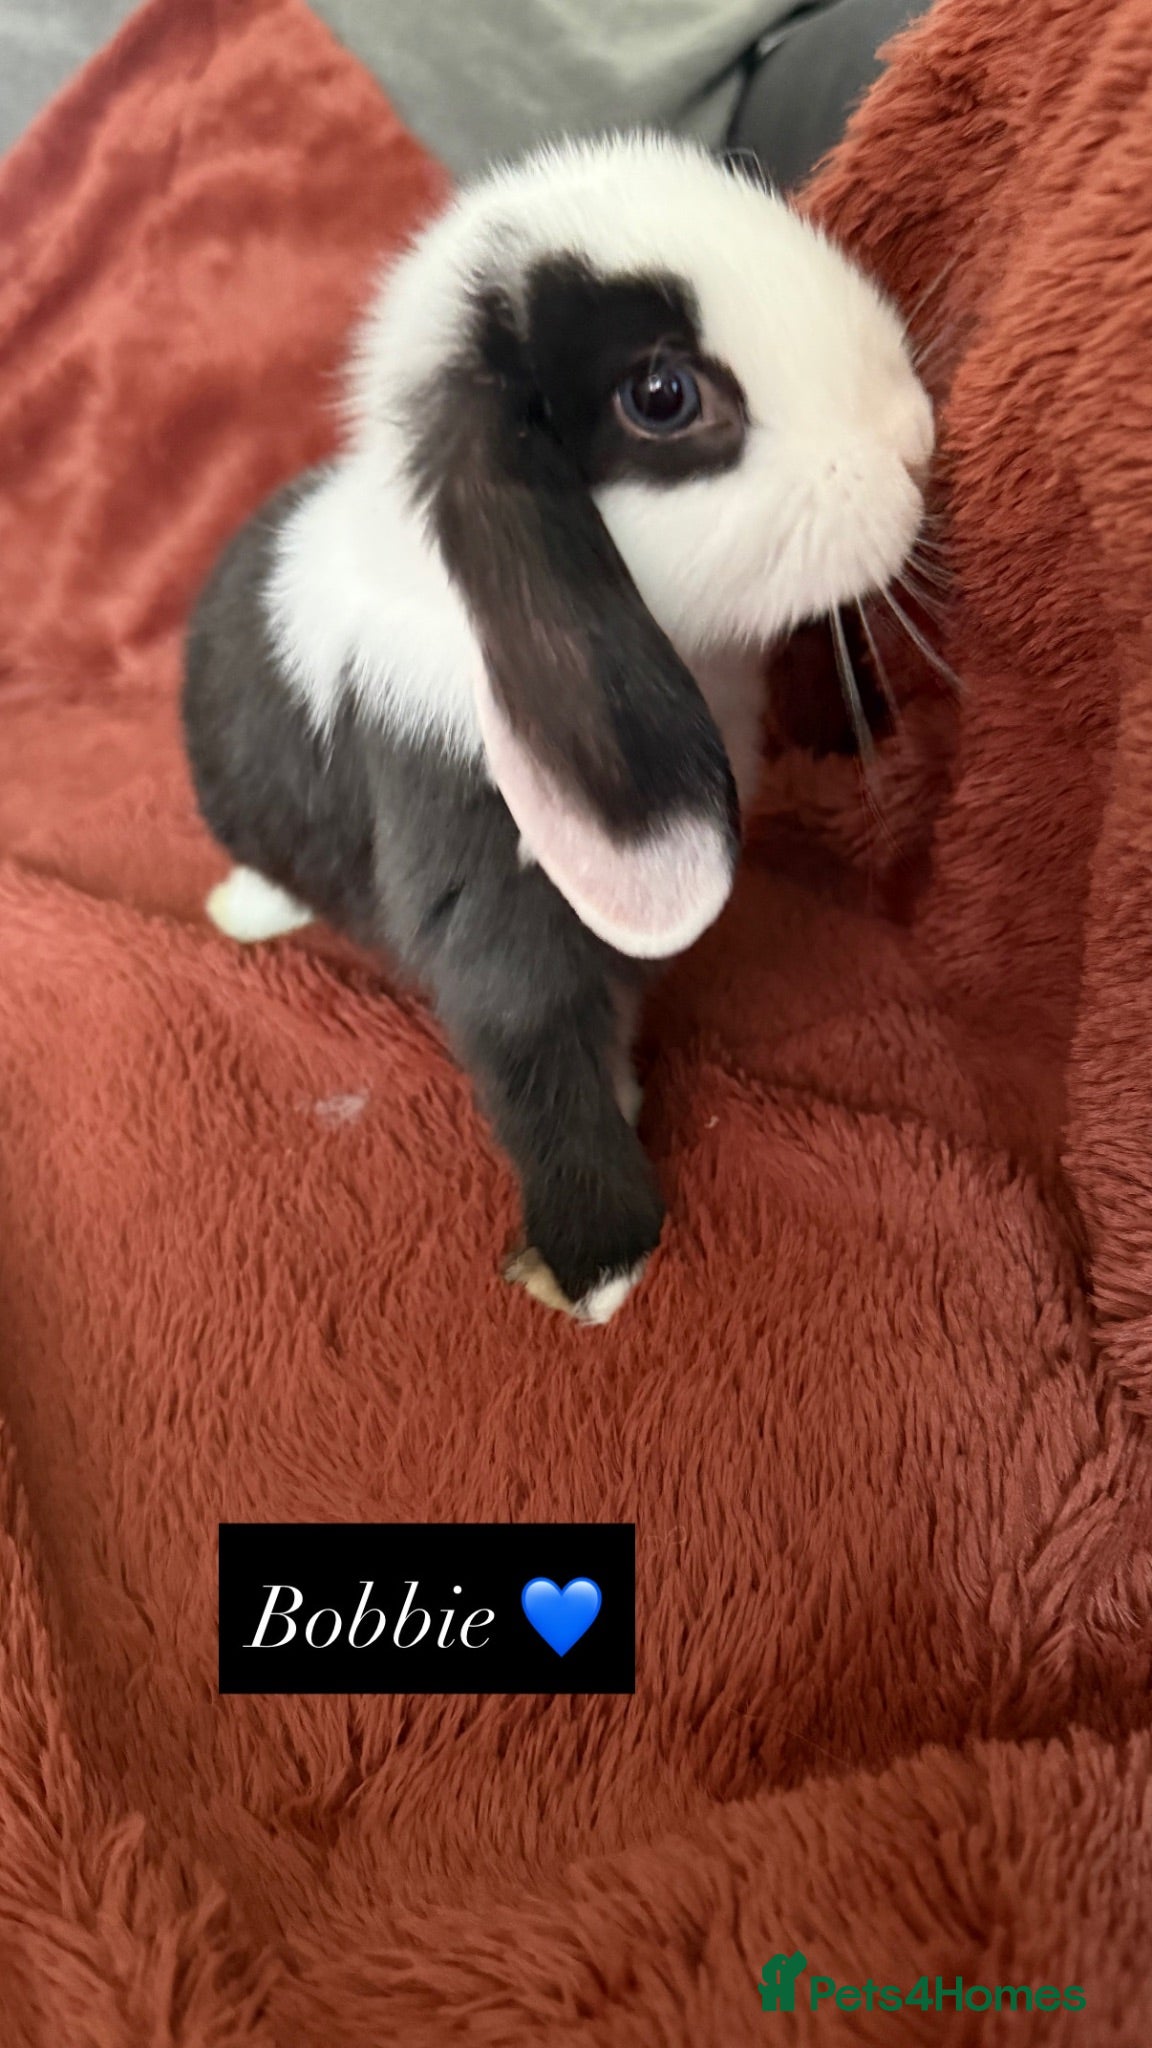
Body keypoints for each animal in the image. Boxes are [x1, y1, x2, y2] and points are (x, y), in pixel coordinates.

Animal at [183, 132, 933, 1325]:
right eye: (663, 395)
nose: (917, 440)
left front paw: (625, 1099)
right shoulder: (488, 901)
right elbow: (531, 1047)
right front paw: (597, 1264)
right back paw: (244, 913)